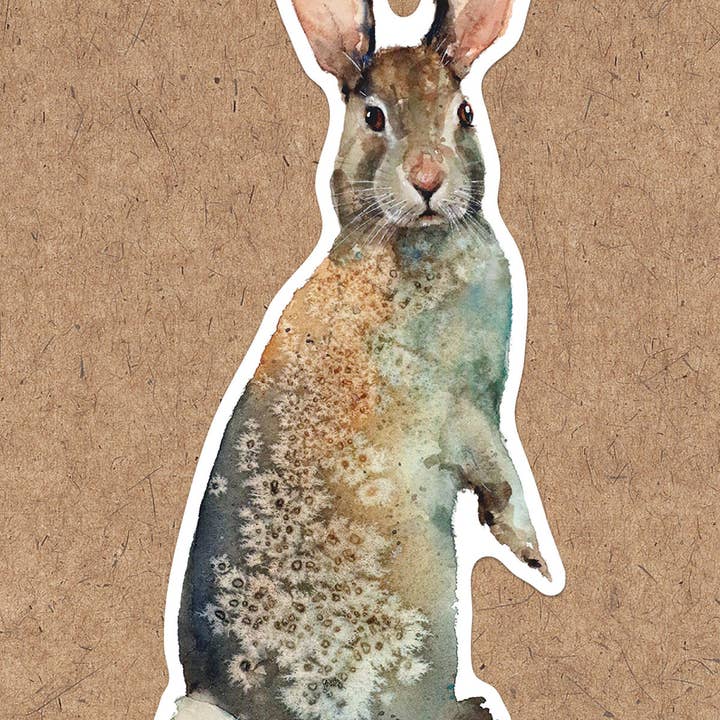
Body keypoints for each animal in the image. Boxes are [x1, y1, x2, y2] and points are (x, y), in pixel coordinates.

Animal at [163, 1, 563, 719]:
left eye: (464, 110)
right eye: (373, 116)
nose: (429, 179)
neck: (411, 241)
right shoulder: (464, 416)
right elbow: (502, 475)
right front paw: (536, 559)